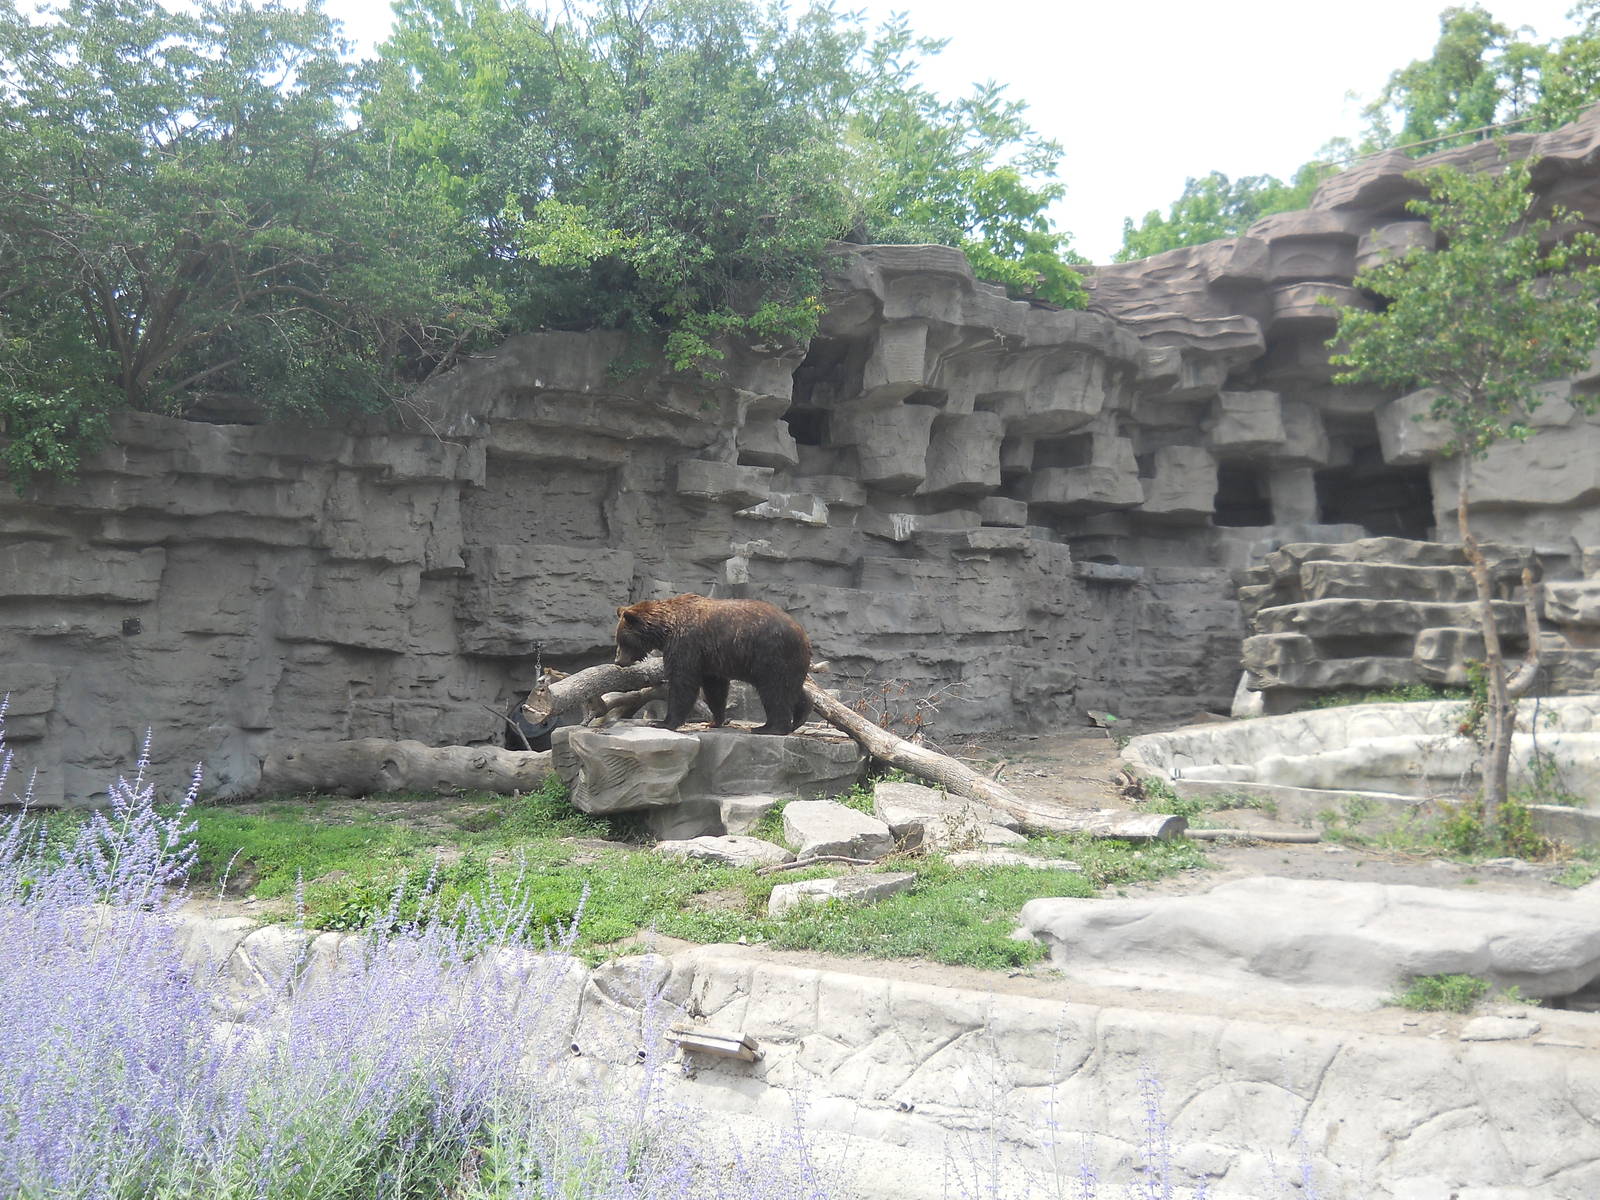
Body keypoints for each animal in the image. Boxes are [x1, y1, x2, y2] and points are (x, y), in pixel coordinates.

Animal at [613, 593, 812, 735]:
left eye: (622, 640)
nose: (619, 661)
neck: (666, 629)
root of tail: (803, 634)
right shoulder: (710, 658)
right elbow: (715, 688)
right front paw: (715, 720)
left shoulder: (686, 644)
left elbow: (682, 681)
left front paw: (662, 722)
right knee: (790, 687)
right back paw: (799, 716)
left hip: (771, 654)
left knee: (774, 690)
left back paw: (768, 727)